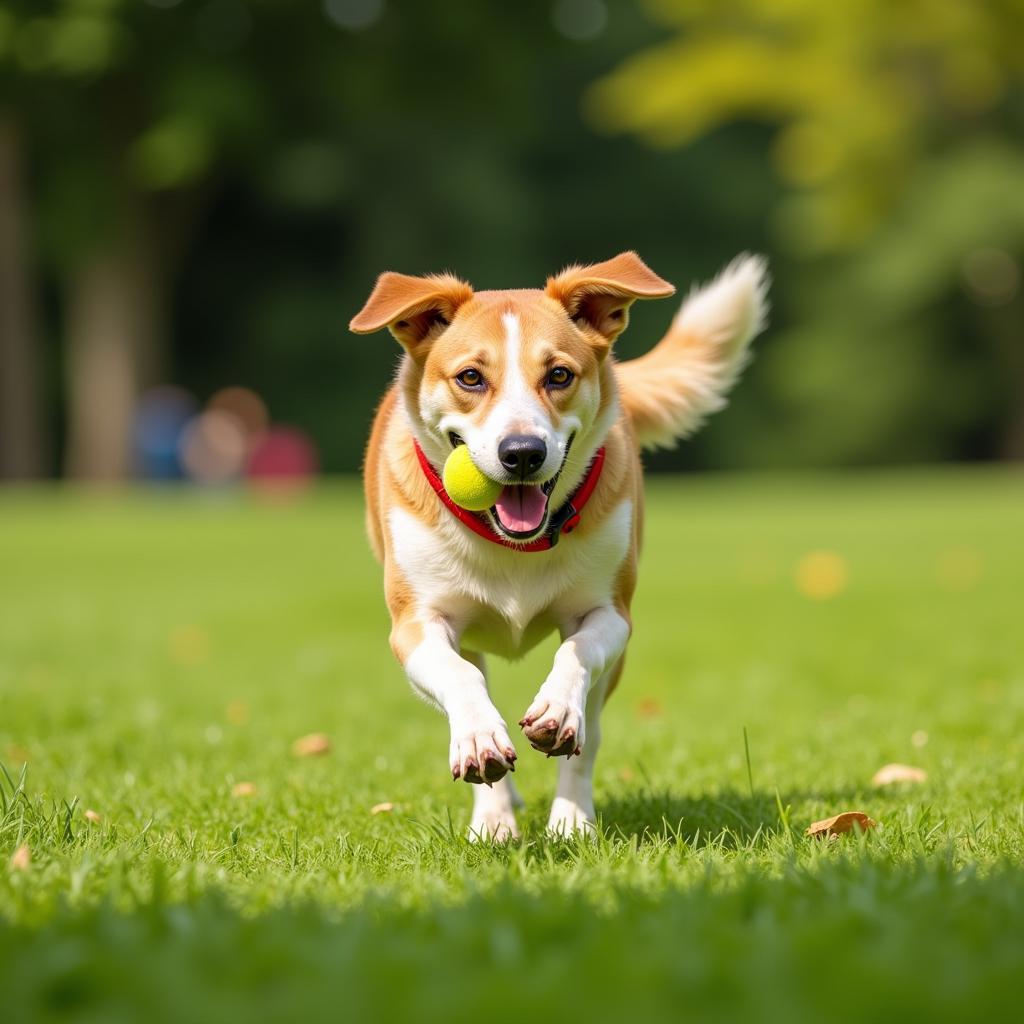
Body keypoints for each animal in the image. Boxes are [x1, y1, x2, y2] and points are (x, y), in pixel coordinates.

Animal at [352, 249, 770, 839]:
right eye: (471, 377)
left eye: (558, 375)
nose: (522, 452)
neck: (513, 545)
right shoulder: (416, 622)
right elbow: (458, 675)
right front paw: (479, 741)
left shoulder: (612, 614)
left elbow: (578, 651)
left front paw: (555, 713)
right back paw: (495, 817)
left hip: (609, 676)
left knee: (587, 739)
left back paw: (572, 820)